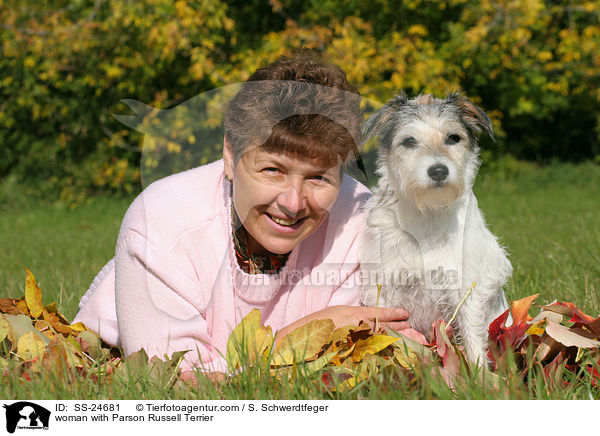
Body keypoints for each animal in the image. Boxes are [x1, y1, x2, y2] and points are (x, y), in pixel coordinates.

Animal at [358, 91, 512, 364]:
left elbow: (473, 338)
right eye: (409, 141)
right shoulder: (385, 287)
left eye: (453, 137)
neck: (427, 214)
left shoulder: (467, 290)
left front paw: (481, 374)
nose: (439, 170)